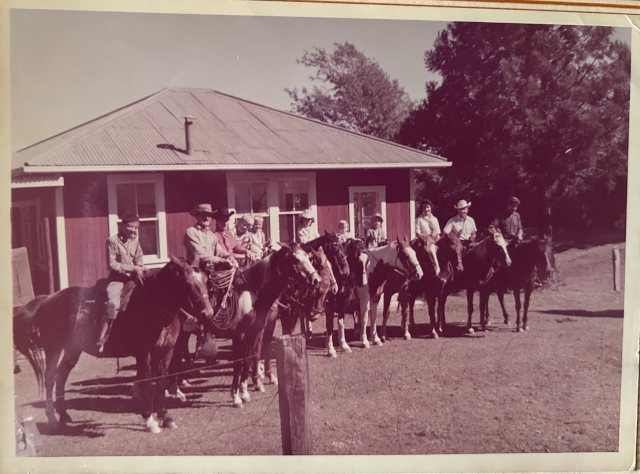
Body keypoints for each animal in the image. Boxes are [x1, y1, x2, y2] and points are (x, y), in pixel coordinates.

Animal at [12, 256, 212, 434]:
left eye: (205, 280)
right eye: (187, 284)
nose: (207, 313)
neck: (153, 308)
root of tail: (47, 299)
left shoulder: (166, 352)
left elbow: (161, 383)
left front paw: (166, 417)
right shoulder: (144, 354)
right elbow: (147, 384)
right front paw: (150, 420)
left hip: (73, 349)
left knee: (61, 376)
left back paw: (64, 415)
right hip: (53, 348)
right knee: (49, 378)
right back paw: (52, 418)